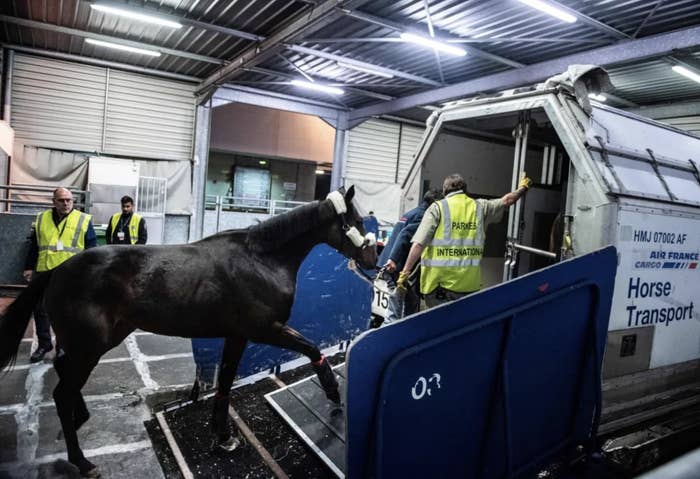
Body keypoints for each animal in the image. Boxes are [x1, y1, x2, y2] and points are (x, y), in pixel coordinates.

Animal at [0, 186, 378, 478]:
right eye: (359, 221)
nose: (373, 259)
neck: (262, 259)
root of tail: (58, 270)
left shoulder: (237, 335)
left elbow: (225, 384)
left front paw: (223, 436)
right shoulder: (264, 329)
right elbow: (311, 347)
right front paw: (332, 391)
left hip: (95, 343)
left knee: (63, 374)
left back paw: (81, 419)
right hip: (89, 347)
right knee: (63, 393)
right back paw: (82, 461)